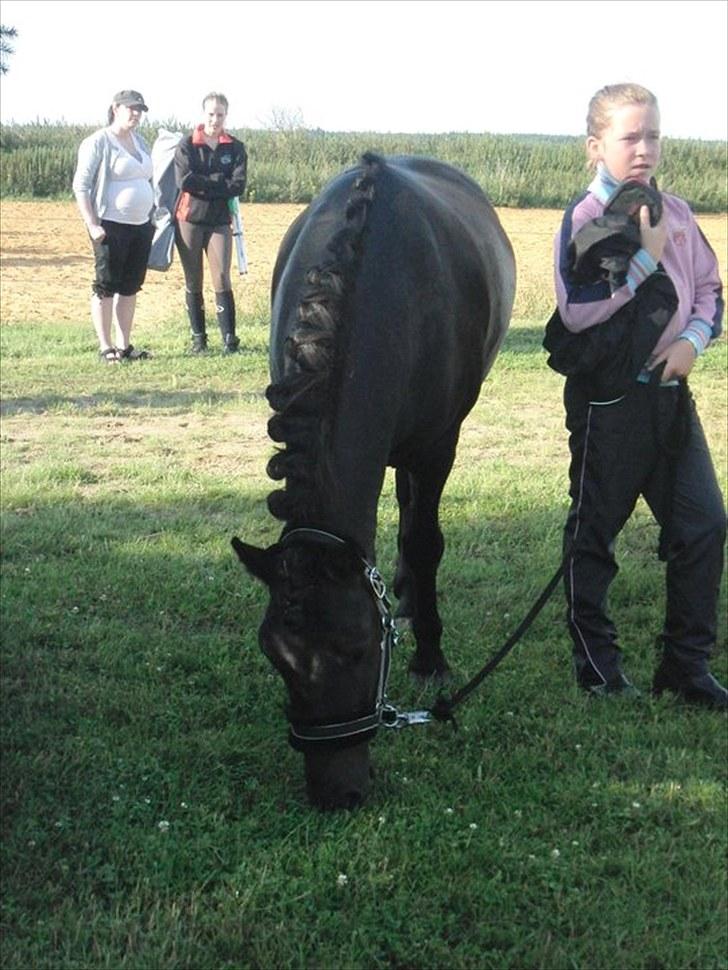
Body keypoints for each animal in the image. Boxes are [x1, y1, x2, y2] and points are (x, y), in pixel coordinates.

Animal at [236, 153, 516, 808]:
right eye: (274, 656)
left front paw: (431, 656)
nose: (335, 793)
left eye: (362, 648)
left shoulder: (437, 445)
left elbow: (424, 539)